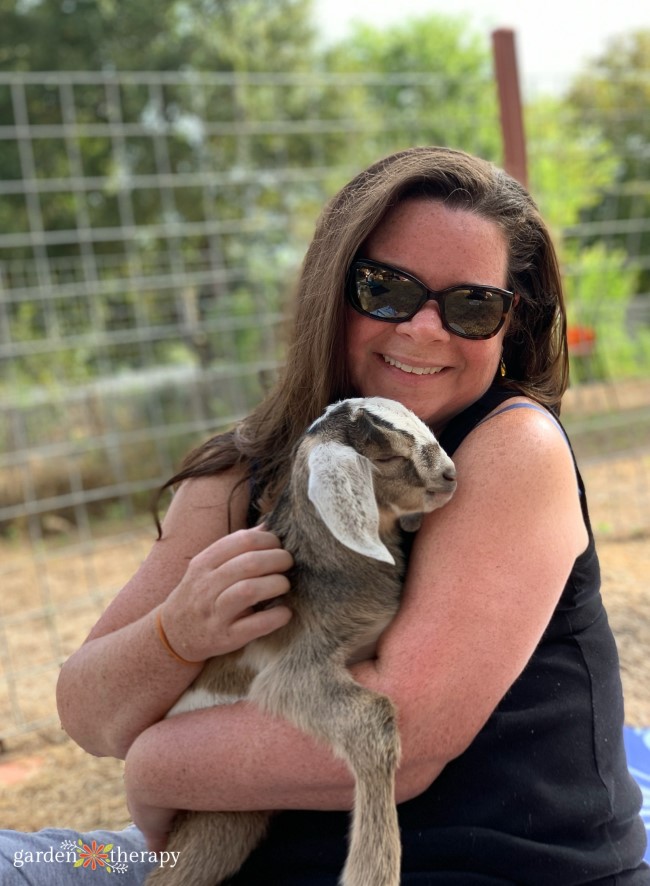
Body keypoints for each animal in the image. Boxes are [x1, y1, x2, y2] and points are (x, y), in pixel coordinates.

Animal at [146, 398, 454, 886]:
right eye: (386, 456)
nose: (450, 474)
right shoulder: (294, 669)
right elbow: (374, 716)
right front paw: (373, 871)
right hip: (214, 818)